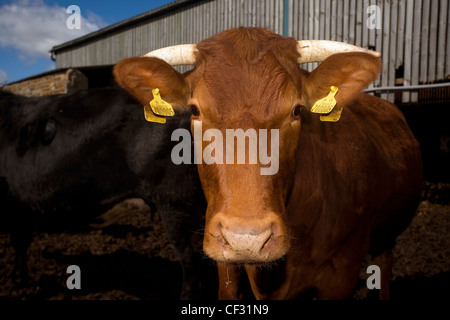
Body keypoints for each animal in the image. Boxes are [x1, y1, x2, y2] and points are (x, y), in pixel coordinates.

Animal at [113, 27, 422, 300]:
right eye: (194, 109)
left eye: (296, 110)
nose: (246, 240)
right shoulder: (225, 268)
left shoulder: (342, 273)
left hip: (387, 235)